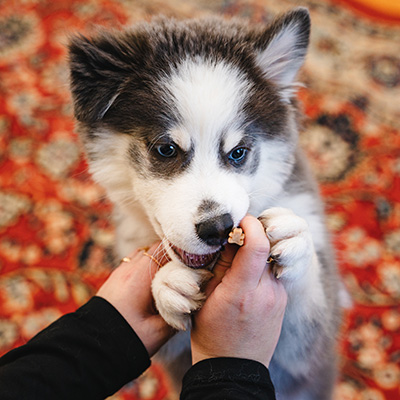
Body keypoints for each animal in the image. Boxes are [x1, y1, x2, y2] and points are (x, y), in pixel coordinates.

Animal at [68, 7, 340, 398]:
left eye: (238, 152)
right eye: (166, 149)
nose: (218, 228)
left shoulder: (307, 359)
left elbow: (308, 310)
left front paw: (295, 243)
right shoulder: (174, 357)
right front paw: (165, 284)